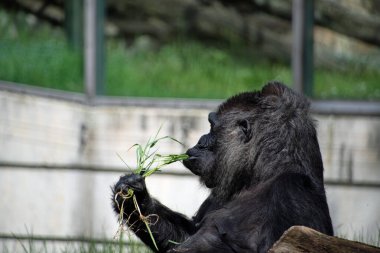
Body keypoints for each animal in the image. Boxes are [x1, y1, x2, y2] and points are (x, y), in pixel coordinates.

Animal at [112, 82, 332, 252]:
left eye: (211, 127)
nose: (200, 141)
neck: (261, 175)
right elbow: (185, 234)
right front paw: (134, 197)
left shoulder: (290, 195)